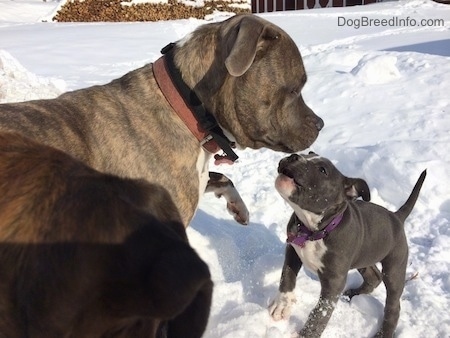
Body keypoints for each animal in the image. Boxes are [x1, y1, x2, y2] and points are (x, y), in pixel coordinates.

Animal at [268, 154, 428, 338]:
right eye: (308, 154)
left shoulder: (334, 281)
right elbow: (286, 277)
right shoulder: (292, 251)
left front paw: (306, 334)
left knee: (394, 305)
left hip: (394, 269)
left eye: (322, 170)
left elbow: (320, 313)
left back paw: (384, 333)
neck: (314, 231)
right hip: (364, 255)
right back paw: (353, 294)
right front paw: (282, 305)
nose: (294, 155)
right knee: (374, 276)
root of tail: (397, 216)